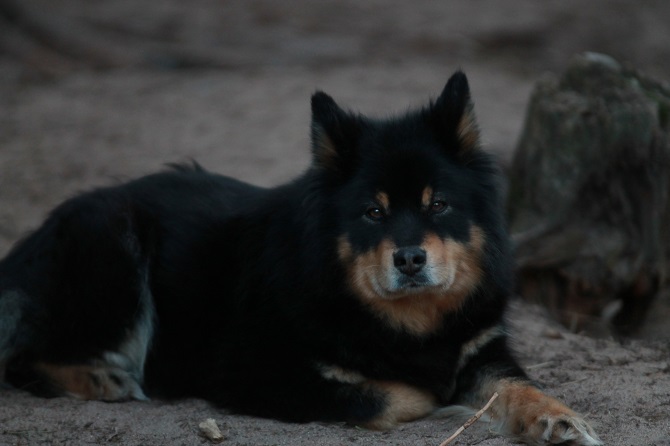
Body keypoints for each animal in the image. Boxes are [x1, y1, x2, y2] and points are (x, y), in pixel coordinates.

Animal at [0, 72, 601, 445]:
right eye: (373, 212)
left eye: (439, 204)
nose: (409, 259)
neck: (407, 324)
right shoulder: (254, 371)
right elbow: (396, 395)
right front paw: (441, 400)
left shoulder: (482, 352)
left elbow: (517, 387)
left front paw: (557, 418)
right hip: (113, 248)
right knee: (23, 353)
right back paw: (103, 377)